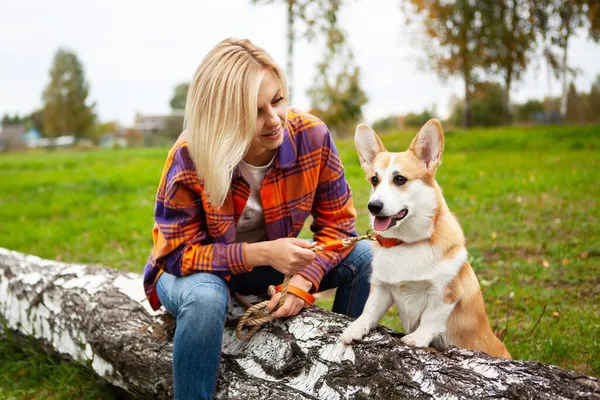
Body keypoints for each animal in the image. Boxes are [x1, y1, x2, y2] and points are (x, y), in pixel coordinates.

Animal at [340, 119, 508, 360]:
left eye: (400, 179)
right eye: (374, 179)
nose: (373, 206)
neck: (406, 242)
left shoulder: (444, 293)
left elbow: (431, 317)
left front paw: (416, 339)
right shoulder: (381, 288)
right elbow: (369, 310)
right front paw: (355, 329)